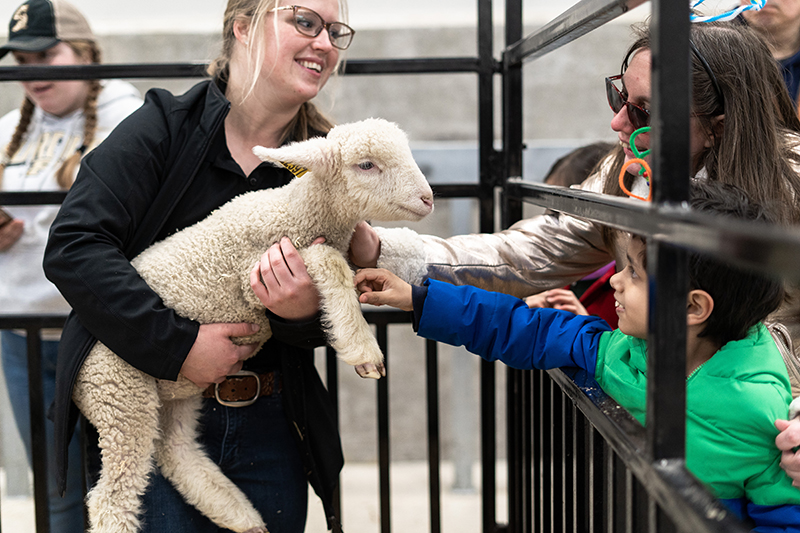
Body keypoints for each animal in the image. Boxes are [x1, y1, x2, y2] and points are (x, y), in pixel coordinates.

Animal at [72, 117, 434, 533]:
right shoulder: (257, 272)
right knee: (111, 497)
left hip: (175, 394)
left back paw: (241, 515)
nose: (428, 198)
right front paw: (363, 350)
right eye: (366, 165)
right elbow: (329, 260)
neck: (297, 212)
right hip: (120, 393)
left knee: (176, 451)